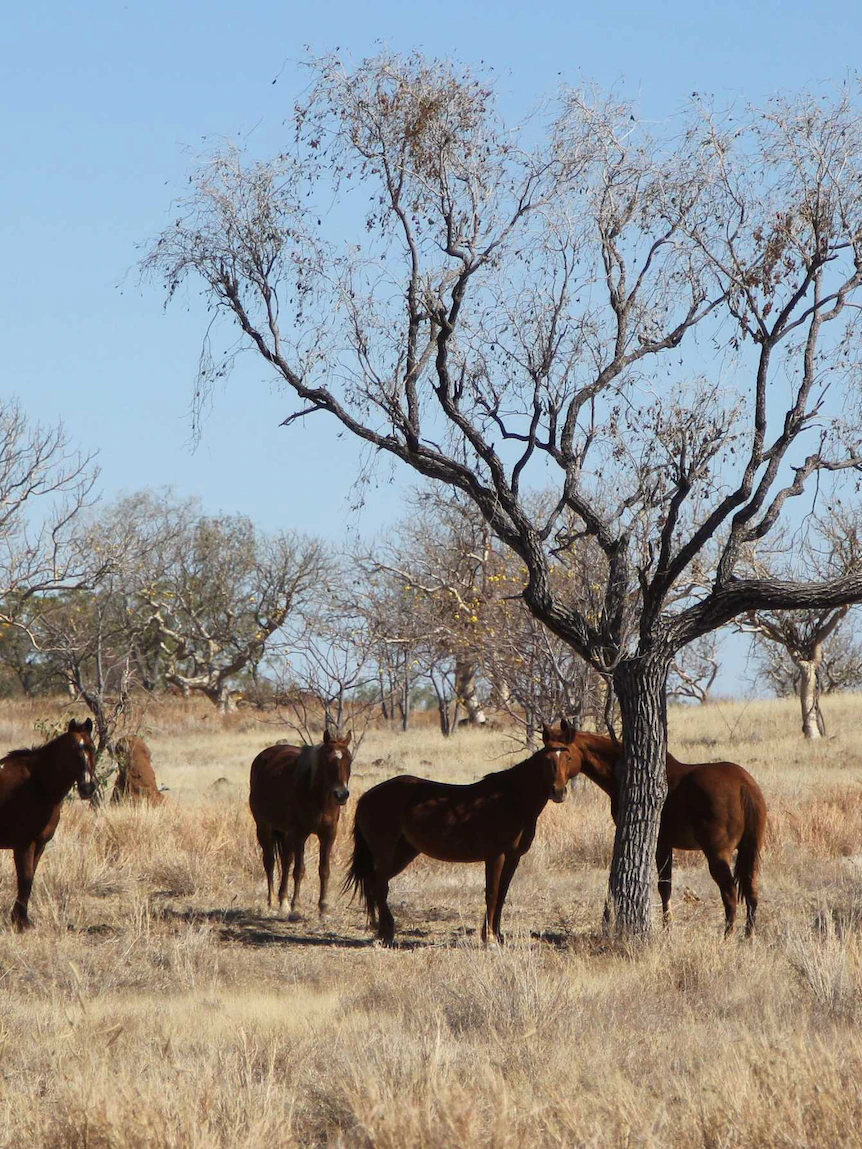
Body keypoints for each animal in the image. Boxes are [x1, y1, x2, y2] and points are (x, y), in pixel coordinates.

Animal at [0, 716, 95, 932]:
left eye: (92, 748)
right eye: (72, 749)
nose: (87, 788)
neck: (38, 784)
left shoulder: (40, 844)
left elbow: (29, 878)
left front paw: (20, 919)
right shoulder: (24, 845)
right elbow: (25, 879)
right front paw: (21, 923)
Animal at [249, 730, 353, 919]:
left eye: (349, 760)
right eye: (327, 760)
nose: (341, 794)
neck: (317, 796)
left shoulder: (328, 834)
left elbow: (324, 870)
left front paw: (323, 907)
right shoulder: (299, 834)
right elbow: (299, 870)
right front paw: (296, 906)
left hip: (284, 833)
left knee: (285, 861)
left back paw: (283, 901)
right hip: (264, 828)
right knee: (270, 862)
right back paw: (273, 901)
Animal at [344, 730, 581, 946]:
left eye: (568, 758)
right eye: (547, 760)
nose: (558, 792)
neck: (512, 799)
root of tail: (366, 797)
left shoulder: (513, 857)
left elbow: (502, 895)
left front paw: (497, 936)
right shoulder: (495, 856)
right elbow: (492, 894)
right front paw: (490, 939)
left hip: (404, 852)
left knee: (374, 883)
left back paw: (381, 931)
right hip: (385, 851)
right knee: (380, 885)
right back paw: (386, 934)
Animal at [547, 721, 767, 937]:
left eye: (568, 756)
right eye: (547, 757)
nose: (557, 791)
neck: (621, 771)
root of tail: (744, 784)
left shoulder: (660, 843)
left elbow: (663, 886)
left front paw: (667, 929)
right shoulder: (666, 844)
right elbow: (665, 885)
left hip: (717, 854)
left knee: (730, 892)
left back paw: (727, 936)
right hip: (751, 852)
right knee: (752, 890)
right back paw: (749, 935)